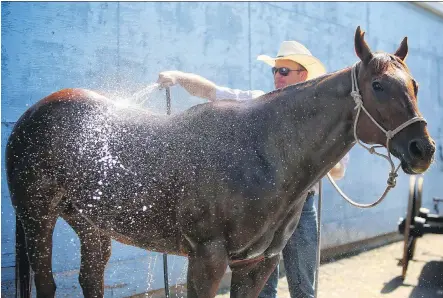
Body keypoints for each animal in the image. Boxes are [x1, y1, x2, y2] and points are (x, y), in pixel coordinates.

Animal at [6, 26, 438, 298]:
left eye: (415, 85)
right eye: (378, 85)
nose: (423, 150)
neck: (264, 152)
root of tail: (31, 114)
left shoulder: (257, 264)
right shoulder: (207, 258)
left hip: (92, 224)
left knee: (90, 279)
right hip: (36, 216)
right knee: (48, 283)